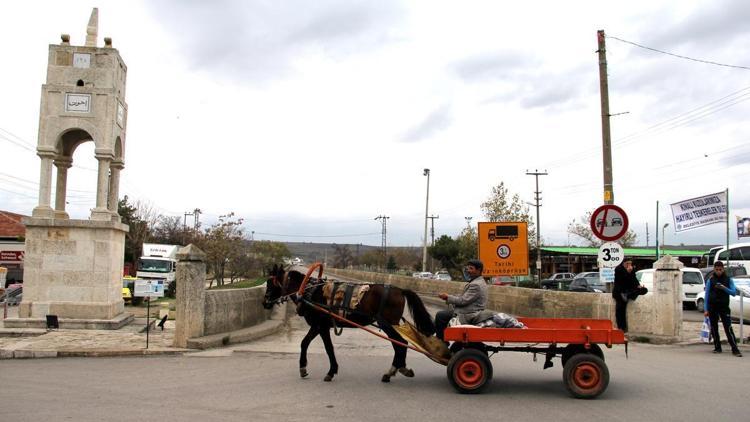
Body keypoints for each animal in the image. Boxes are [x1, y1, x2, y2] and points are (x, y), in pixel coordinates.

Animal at [264, 266, 438, 384]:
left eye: (270, 283)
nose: (264, 302)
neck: (309, 292)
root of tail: (400, 290)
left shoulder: (321, 326)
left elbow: (328, 348)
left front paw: (331, 371)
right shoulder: (317, 326)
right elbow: (304, 343)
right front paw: (303, 368)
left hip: (388, 324)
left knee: (400, 343)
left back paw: (394, 370)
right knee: (400, 344)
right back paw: (399, 369)